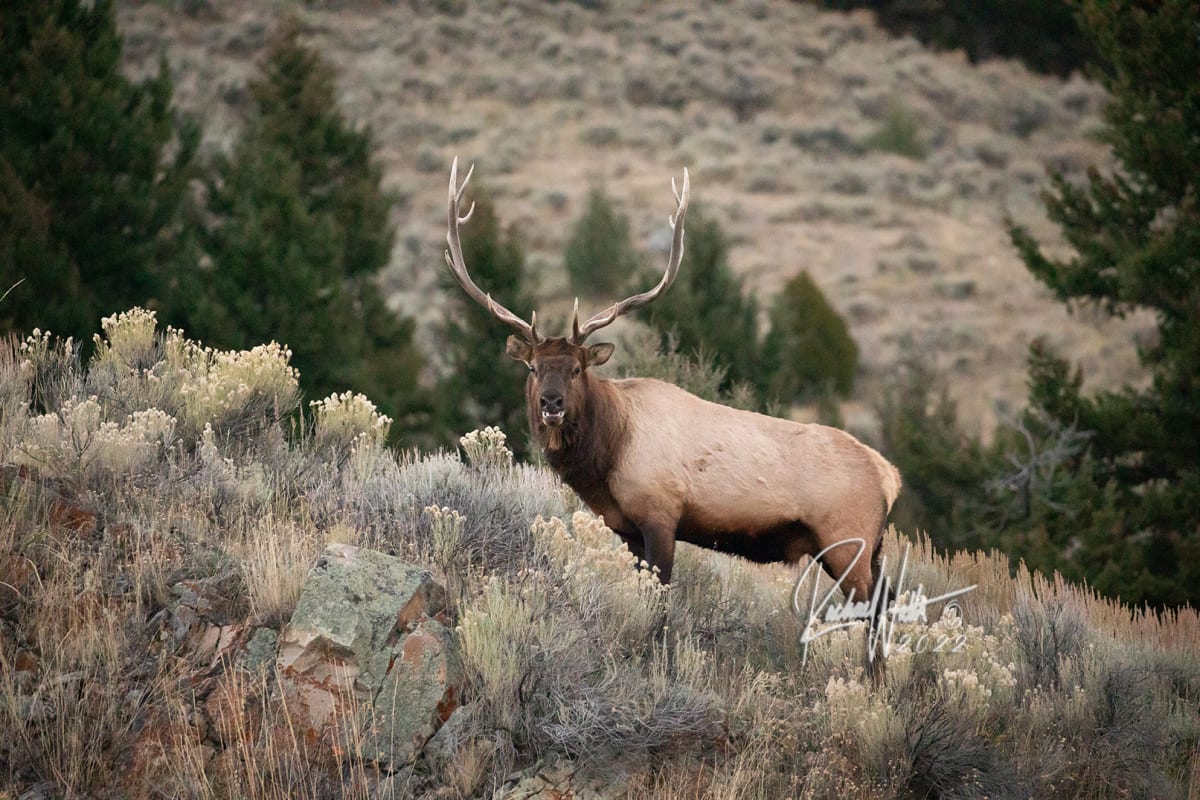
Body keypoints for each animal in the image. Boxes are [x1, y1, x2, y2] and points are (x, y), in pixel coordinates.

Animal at [446, 158, 897, 606]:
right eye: (533, 368)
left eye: (577, 368)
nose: (551, 403)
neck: (609, 453)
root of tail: (889, 476)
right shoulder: (625, 526)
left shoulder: (660, 513)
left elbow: (660, 598)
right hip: (866, 551)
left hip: (846, 542)